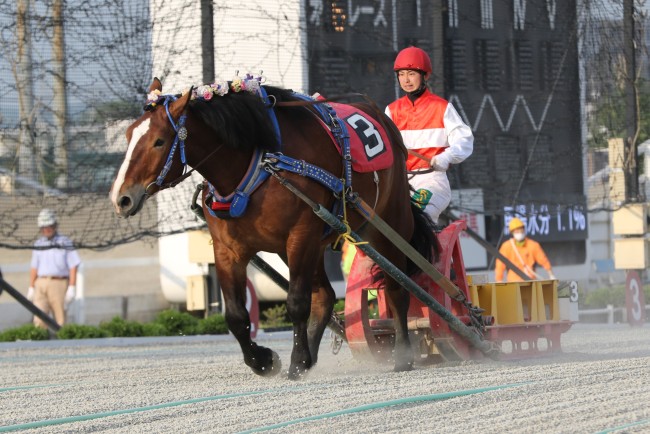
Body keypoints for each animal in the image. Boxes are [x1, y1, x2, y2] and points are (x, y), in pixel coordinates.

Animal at [110, 78, 436, 380]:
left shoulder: (301, 236)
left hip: (387, 224)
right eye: (128, 136)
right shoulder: (229, 250)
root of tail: (383, 119)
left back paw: (402, 355)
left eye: (159, 141)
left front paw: (294, 360)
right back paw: (310, 356)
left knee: (397, 286)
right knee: (325, 296)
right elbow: (236, 316)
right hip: (302, 246)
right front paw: (266, 360)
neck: (257, 165)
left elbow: (297, 303)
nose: (121, 198)